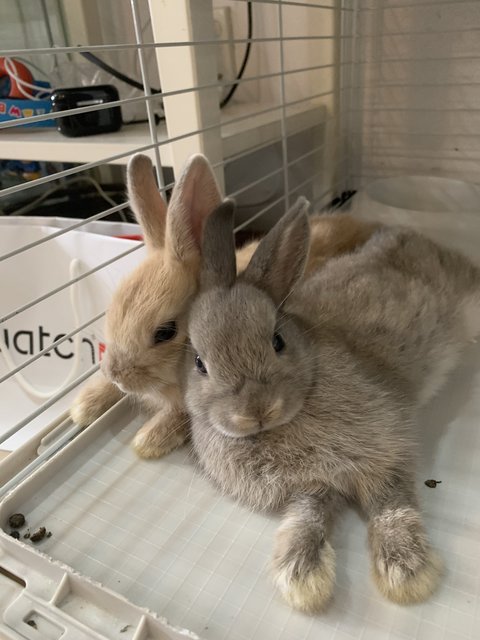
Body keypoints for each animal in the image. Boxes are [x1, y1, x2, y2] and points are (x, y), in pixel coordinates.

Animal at [71, 152, 376, 458]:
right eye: (112, 310)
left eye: (165, 332)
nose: (117, 374)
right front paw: (83, 406)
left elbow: (181, 414)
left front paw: (148, 440)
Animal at [184, 198, 480, 612]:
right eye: (199, 363)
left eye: (278, 342)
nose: (256, 410)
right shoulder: (317, 483)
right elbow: (309, 517)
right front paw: (302, 578)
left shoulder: (385, 447)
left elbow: (390, 501)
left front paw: (408, 572)